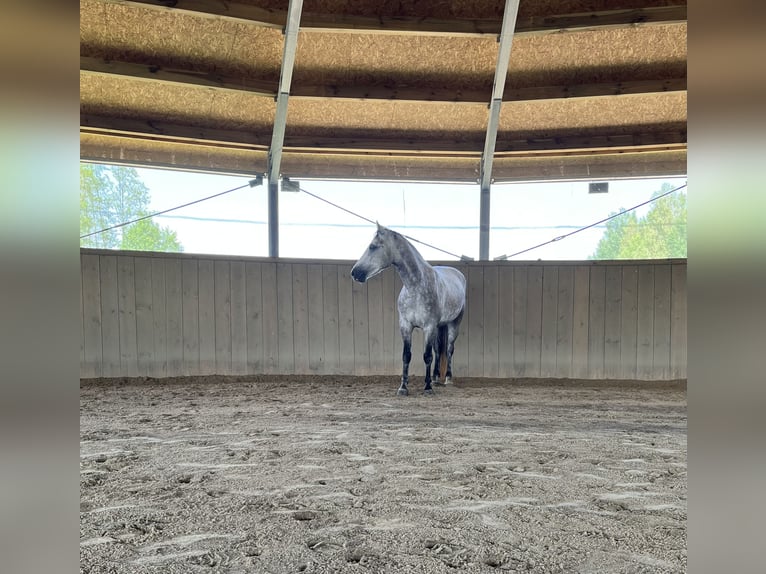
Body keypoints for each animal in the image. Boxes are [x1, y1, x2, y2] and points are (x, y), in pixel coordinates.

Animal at [352, 224, 464, 396]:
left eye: (372, 246)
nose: (355, 273)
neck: (416, 287)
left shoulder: (429, 327)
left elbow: (427, 356)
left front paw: (427, 387)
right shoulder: (405, 325)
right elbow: (406, 356)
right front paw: (403, 387)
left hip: (454, 324)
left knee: (449, 349)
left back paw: (448, 379)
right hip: (439, 326)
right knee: (438, 350)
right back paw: (436, 378)